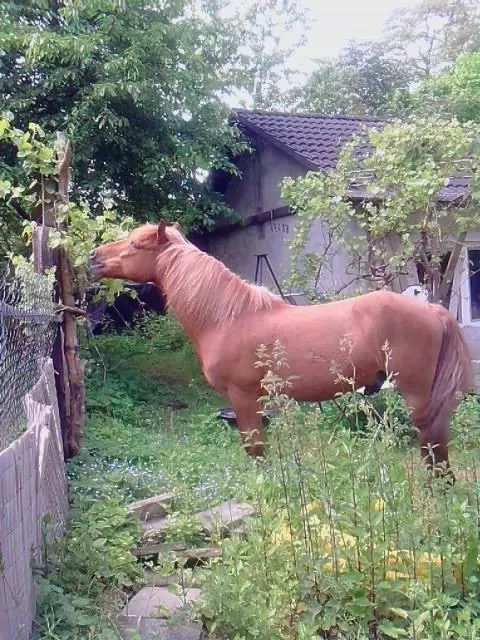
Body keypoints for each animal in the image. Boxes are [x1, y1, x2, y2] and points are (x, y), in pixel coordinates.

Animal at [89, 221, 473, 477]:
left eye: (136, 244)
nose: (93, 257)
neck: (227, 318)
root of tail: (433, 310)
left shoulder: (243, 397)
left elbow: (255, 451)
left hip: (417, 396)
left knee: (434, 449)